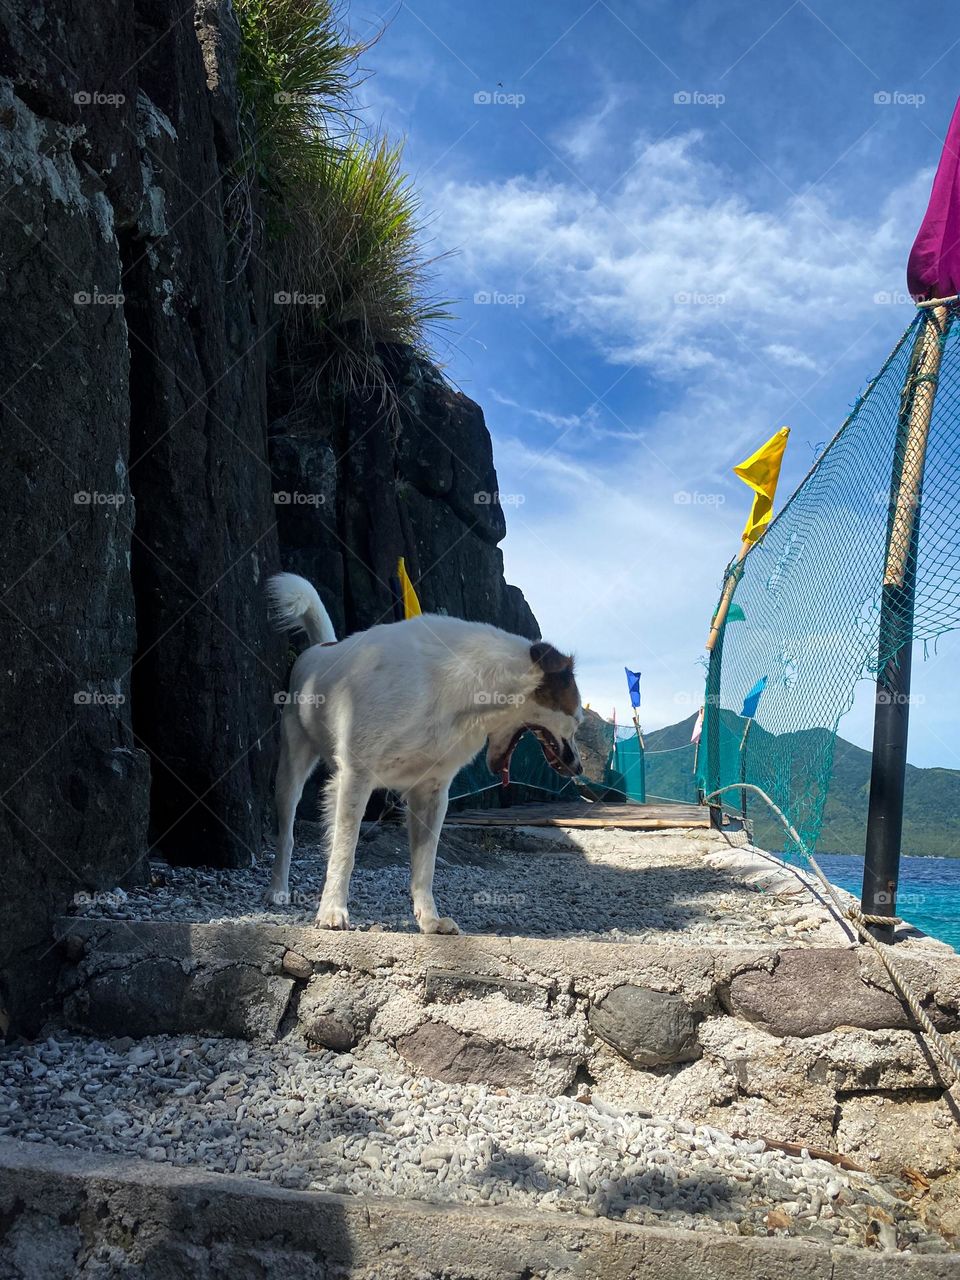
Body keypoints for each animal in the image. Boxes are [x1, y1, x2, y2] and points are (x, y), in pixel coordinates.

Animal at [263, 576, 583, 936]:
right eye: (577, 721)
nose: (579, 767)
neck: (459, 690)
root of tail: (323, 647)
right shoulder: (355, 778)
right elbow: (345, 849)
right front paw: (332, 910)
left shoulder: (430, 792)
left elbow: (425, 862)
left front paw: (430, 919)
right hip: (291, 768)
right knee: (287, 834)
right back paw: (278, 890)